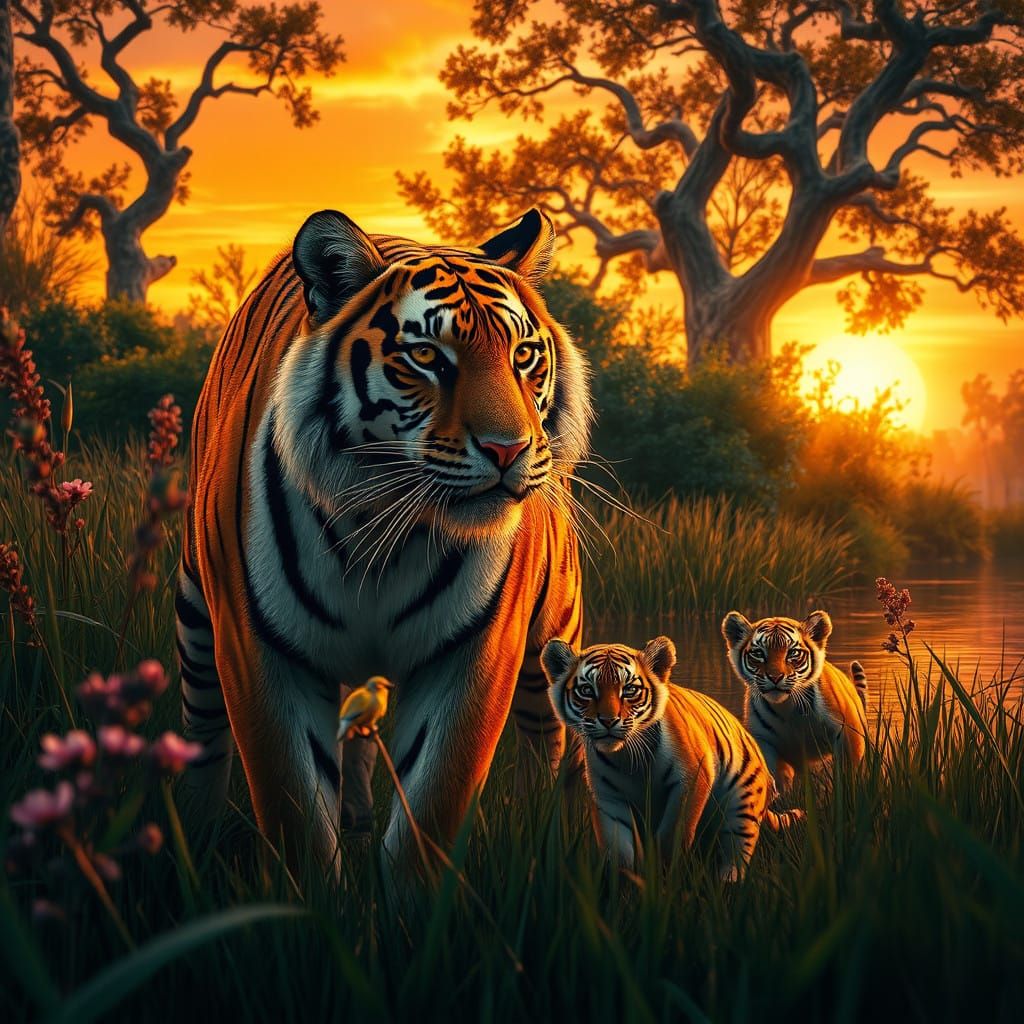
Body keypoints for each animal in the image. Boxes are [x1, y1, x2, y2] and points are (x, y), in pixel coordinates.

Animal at [174, 208, 590, 869]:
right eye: (425, 355)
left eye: (524, 355)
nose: (509, 449)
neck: (380, 529)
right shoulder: (258, 649)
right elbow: (297, 813)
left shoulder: (475, 654)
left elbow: (431, 809)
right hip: (196, 620)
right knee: (205, 737)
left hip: (551, 641)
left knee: (552, 749)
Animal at [541, 636, 804, 880]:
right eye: (587, 691)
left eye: (629, 690)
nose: (608, 721)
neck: (626, 758)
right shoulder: (607, 799)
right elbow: (619, 851)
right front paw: (625, 886)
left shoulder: (690, 781)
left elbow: (672, 835)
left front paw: (662, 877)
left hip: (742, 805)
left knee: (735, 851)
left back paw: (727, 883)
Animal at [720, 610, 869, 794]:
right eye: (759, 653)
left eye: (792, 653)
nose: (775, 677)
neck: (787, 707)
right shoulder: (765, 742)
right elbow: (775, 778)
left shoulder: (847, 732)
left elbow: (847, 773)